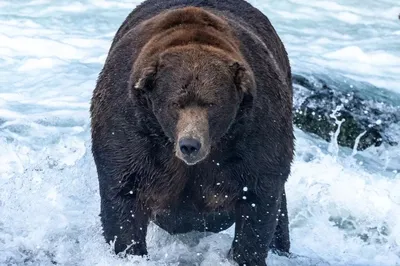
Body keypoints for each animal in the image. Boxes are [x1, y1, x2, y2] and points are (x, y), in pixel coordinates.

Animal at [90, 1, 294, 264]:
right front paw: (130, 250)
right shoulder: (130, 124)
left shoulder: (255, 128)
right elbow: (124, 193)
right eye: (175, 103)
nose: (190, 144)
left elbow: (259, 197)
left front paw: (245, 254)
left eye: (211, 104)